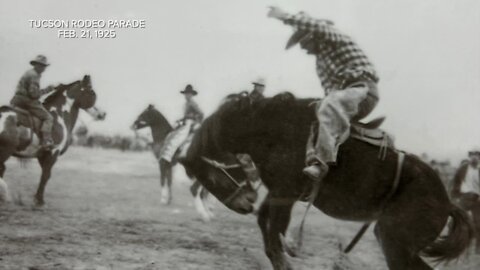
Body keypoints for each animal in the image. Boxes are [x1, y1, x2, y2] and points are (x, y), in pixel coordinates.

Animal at [0, 75, 105, 206]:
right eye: (92, 92)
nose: (103, 114)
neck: (58, 116)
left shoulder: (42, 155)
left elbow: (45, 175)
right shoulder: (53, 152)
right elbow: (46, 175)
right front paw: (39, 200)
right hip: (5, 151)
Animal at [182, 93, 474, 270]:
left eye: (212, 177)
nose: (243, 205)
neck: (275, 130)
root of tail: (447, 202)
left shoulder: (285, 194)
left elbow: (274, 234)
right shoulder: (277, 193)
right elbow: (267, 228)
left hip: (397, 242)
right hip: (392, 239)